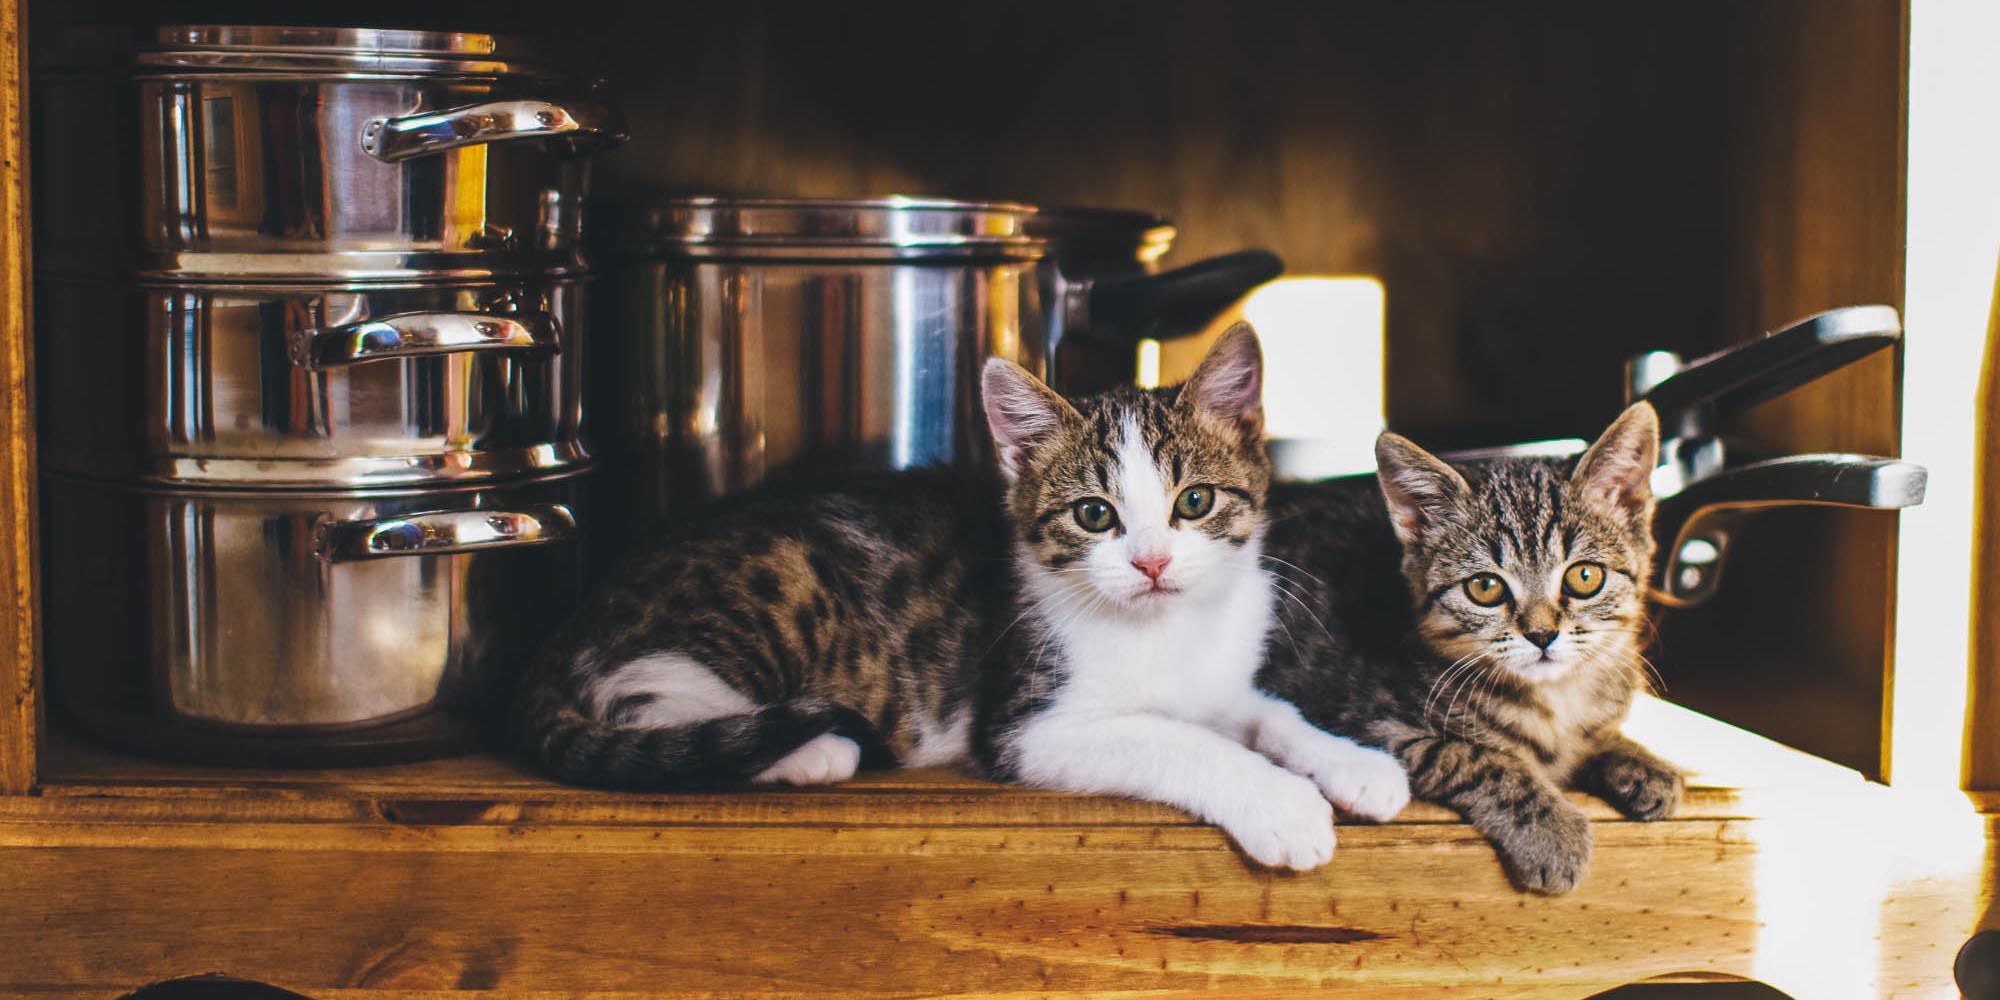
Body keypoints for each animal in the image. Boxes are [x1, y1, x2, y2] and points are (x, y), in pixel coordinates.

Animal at [524, 326, 1416, 868]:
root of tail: (581, 612)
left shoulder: (1220, 677)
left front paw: (1352, 762)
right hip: (772, 587)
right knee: (645, 695)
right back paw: (807, 750)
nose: (1154, 563)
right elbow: (1182, 741)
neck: (1165, 627)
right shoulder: (1027, 725)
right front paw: (1283, 805)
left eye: (1194, 502)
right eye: (1094, 515)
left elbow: (1261, 713)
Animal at [1256, 402, 1680, 896]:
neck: (1557, 700)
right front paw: (1551, 829)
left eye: (1585, 577)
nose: (1541, 634)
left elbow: (1596, 736)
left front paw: (1639, 760)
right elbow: (1476, 758)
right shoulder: (1371, 724)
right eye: (1485, 587)